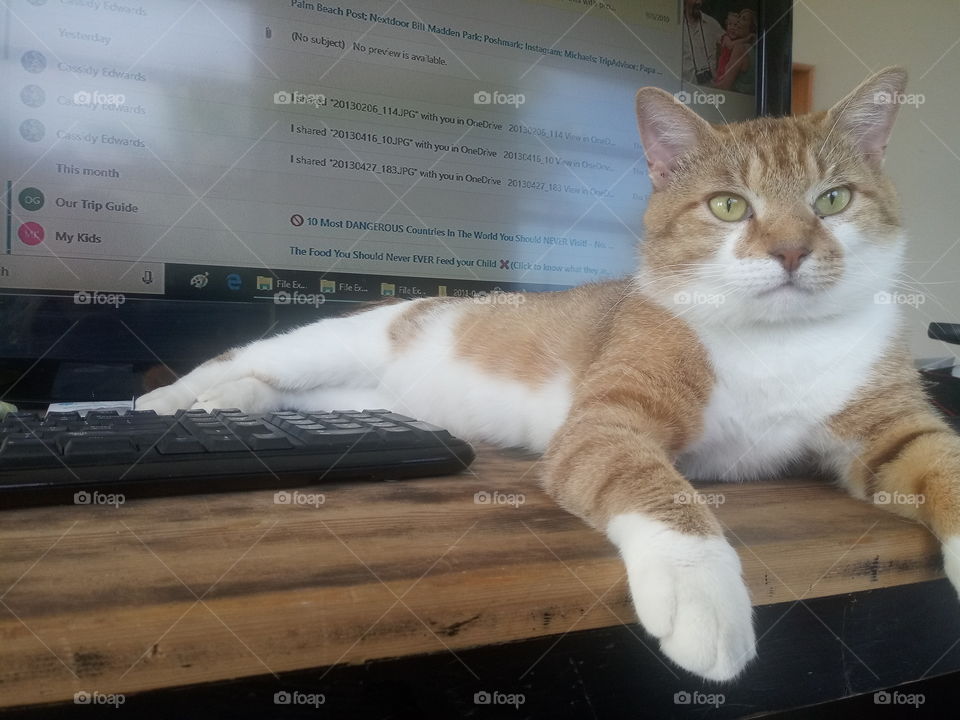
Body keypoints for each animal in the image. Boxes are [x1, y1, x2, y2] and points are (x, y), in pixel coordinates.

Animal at [137, 70, 960, 684]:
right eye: (730, 205)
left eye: (833, 199)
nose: (790, 251)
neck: (779, 342)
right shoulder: (606, 420)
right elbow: (654, 483)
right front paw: (702, 590)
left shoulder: (893, 429)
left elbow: (941, 463)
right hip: (330, 344)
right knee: (241, 360)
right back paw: (169, 402)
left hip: (358, 395)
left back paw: (229, 404)